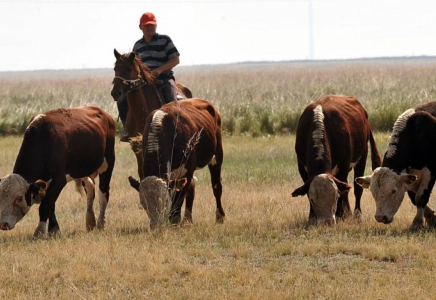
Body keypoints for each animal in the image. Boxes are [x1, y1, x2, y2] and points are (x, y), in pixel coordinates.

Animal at [0, 106, 116, 237]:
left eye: (19, 198)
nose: (3, 224)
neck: (43, 140)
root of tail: (103, 113)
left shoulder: (58, 180)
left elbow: (46, 205)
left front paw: (39, 232)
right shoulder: (47, 184)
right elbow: (51, 206)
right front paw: (54, 230)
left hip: (107, 164)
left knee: (103, 194)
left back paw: (101, 223)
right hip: (83, 170)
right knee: (90, 190)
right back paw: (90, 222)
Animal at [110, 49, 191, 178]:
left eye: (129, 69)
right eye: (115, 69)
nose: (115, 93)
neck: (140, 112)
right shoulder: (137, 147)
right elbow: (141, 171)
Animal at [127, 99, 225, 230]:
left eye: (164, 201)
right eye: (144, 204)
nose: (155, 226)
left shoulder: (187, 171)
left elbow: (178, 199)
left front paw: (174, 223)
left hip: (217, 155)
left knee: (216, 186)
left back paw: (220, 217)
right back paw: (188, 220)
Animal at [292, 95, 382, 225]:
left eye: (334, 197)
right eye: (313, 200)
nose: (327, 221)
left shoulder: (343, 166)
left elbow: (342, 190)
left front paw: (340, 215)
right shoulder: (302, 168)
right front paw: (312, 216)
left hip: (362, 156)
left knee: (356, 189)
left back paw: (357, 214)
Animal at [356, 101, 436, 230]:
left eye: (393, 191)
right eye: (373, 192)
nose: (380, 217)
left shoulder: (429, 172)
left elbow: (420, 198)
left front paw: (417, 223)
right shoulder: (409, 177)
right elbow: (413, 198)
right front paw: (431, 218)